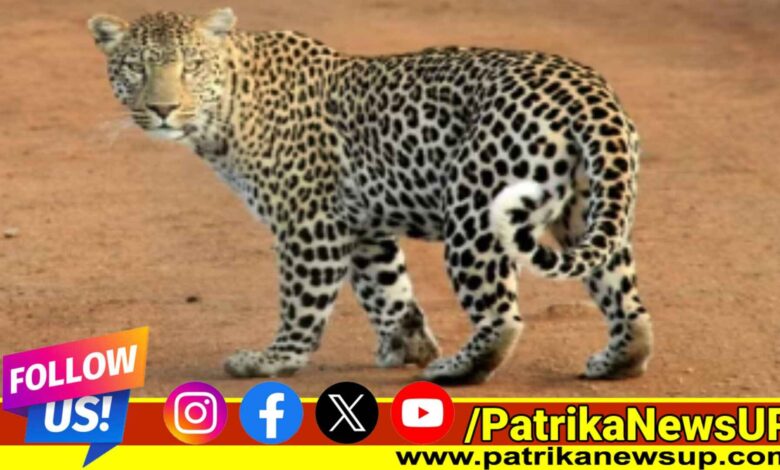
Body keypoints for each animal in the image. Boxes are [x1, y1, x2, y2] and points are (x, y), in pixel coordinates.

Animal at [88, 8, 652, 385]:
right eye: (135, 67)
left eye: (192, 66)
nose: (162, 108)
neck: (227, 109)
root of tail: (588, 91)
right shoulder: (362, 227)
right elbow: (387, 290)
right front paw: (408, 344)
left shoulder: (309, 223)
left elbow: (302, 301)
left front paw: (276, 358)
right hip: (588, 210)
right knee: (625, 298)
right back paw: (617, 361)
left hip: (476, 211)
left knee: (501, 318)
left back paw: (456, 370)